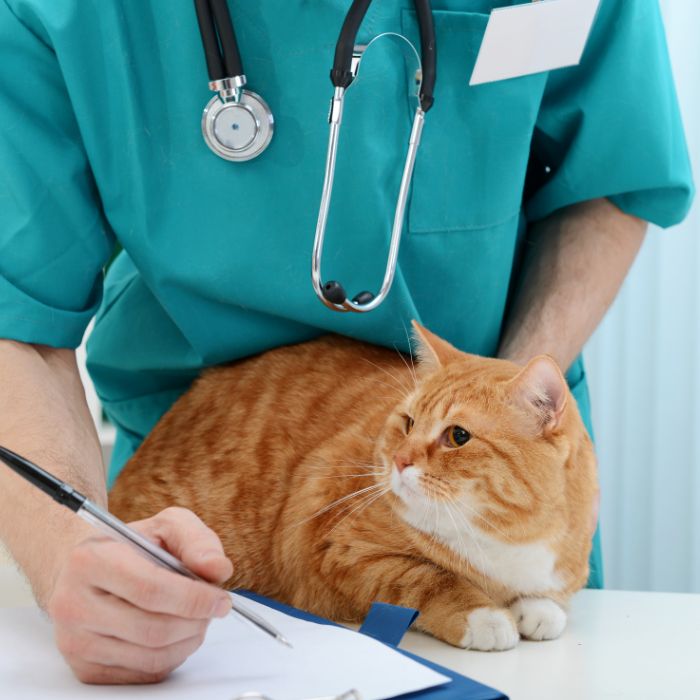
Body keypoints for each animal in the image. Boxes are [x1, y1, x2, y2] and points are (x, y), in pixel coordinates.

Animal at [109, 322, 596, 652]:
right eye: (408, 423)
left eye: (458, 436)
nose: (400, 460)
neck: (503, 544)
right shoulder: (338, 550)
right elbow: (428, 578)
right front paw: (484, 616)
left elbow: (549, 599)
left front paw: (540, 608)